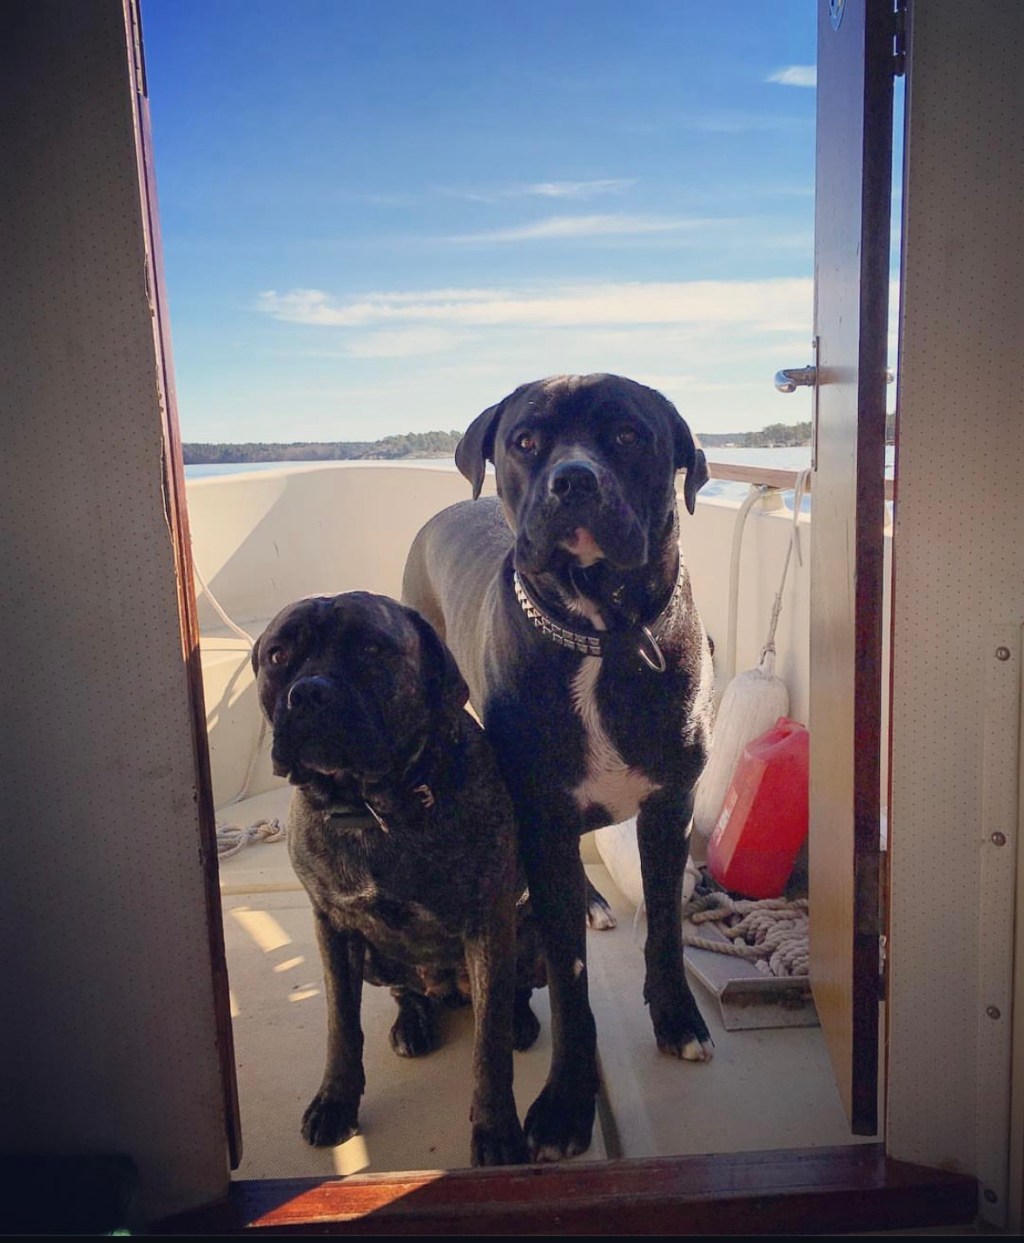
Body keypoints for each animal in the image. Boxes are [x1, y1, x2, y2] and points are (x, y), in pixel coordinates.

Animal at [251, 590, 544, 1167]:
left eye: (371, 648)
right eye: (277, 656)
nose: (309, 694)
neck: (376, 810)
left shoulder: (488, 926)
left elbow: (489, 1046)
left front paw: (497, 1130)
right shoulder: (333, 927)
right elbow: (341, 1027)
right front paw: (335, 1102)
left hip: (532, 936)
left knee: (511, 995)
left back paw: (519, 1020)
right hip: (376, 960)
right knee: (409, 991)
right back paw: (413, 1021)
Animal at [402, 373, 716, 1161]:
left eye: (630, 434)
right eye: (525, 441)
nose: (573, 479)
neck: (605, 634)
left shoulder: (671, 806)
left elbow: (665, 928)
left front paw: (678, 1018)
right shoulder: (541, 821)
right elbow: (570, 981)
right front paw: (568, 1101)